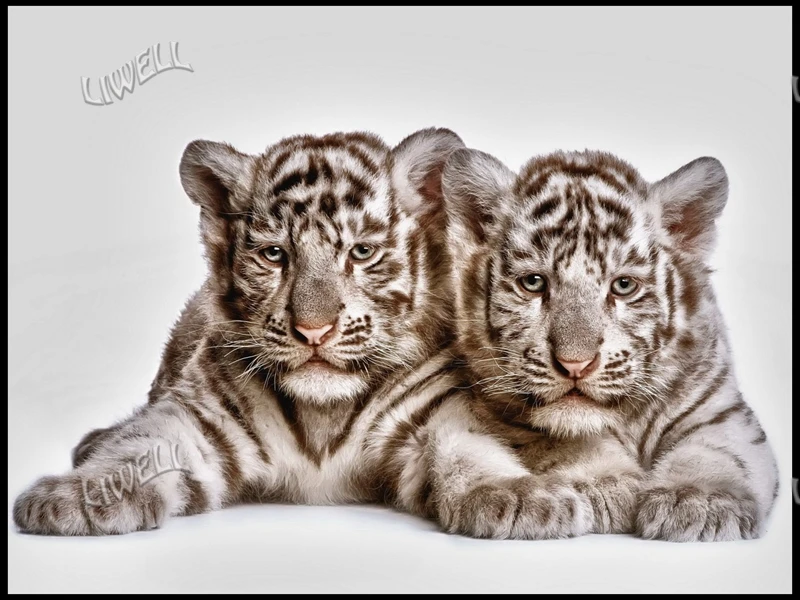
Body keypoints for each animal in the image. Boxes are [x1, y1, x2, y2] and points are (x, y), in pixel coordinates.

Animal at [437, 146, 781, 542]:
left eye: (623, 286)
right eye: (534, 283)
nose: (575, 364)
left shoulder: (723, 410)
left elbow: (718, 450)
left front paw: (699, 500)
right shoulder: (502, 413)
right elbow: (565, 442)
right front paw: (606, 485)